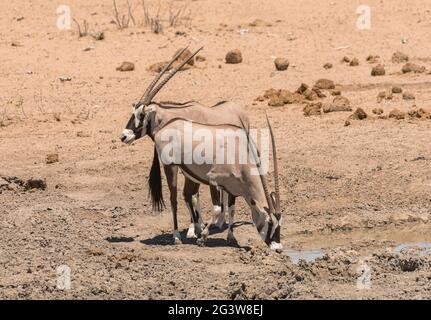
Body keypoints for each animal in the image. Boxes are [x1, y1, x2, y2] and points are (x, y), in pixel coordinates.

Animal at [121, 46, 284, 251]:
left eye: (141, 114)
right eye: (269, 222)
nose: (278, 248)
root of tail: (166, 129)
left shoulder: (232, 188)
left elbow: (230, 208)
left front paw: (230, 237)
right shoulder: (213, 181)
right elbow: (216, 208)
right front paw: (201, 235)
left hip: (188, 171)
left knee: (187, 196)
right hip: (171, 167)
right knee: (175, 198)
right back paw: (177, 236)